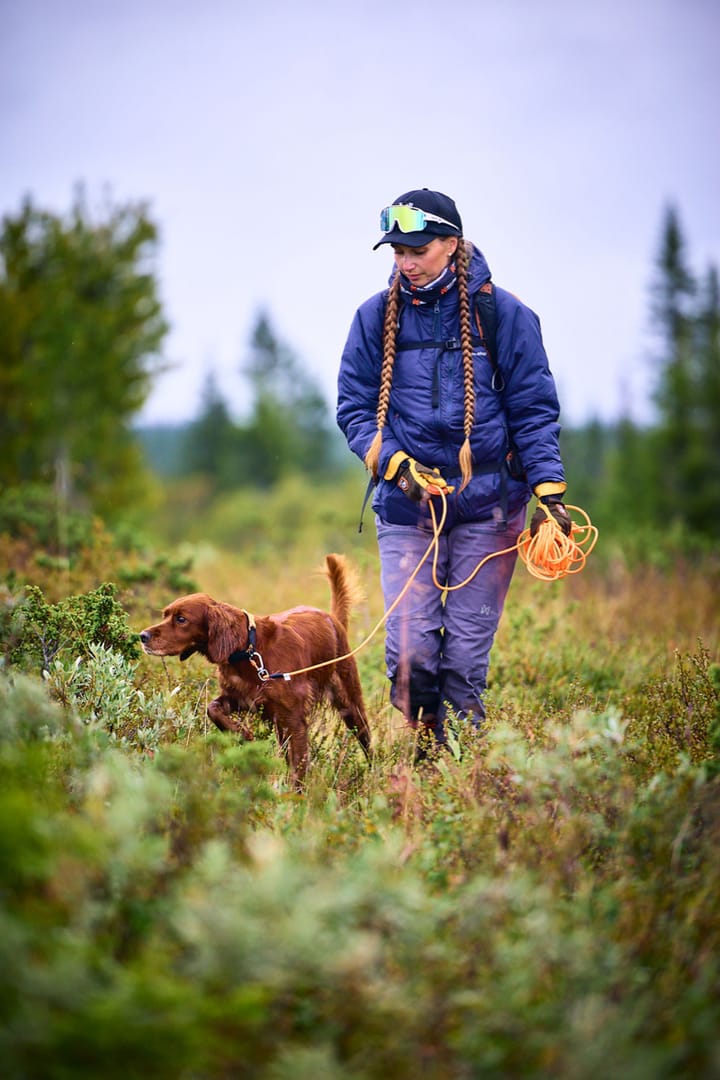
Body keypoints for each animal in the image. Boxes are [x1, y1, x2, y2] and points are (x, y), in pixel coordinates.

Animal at [139, 552, 371, 790]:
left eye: (181, 619)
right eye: (165, 614)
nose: (142, 636)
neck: (248, 651)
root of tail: (333, 619)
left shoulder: (294, 719)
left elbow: (298, 766)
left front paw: (294, 796)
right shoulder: (243, 698)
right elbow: (212, 709)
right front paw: (244, 736)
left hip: (350, 704)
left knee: (367, 744)